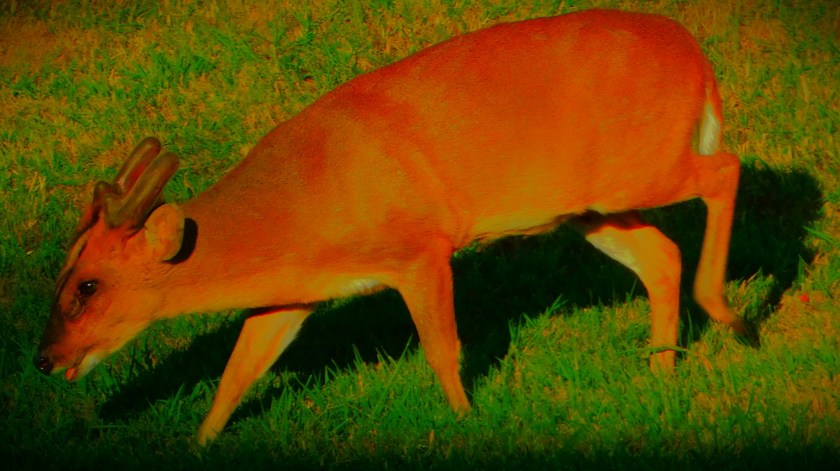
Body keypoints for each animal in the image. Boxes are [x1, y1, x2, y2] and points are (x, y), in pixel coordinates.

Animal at [34, 9, 752, 445]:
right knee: (662, 254)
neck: (304, 202)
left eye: (87, 286)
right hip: (592, 205)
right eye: (62, 277)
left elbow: (442, 348)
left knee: (726, 169)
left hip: (643, 166)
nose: (46, 359)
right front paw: (199, 443)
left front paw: (464, 423)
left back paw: (728, 314)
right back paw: (661, 372)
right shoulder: (295, 293)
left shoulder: (419, 248)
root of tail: (697, 58)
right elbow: (240, 369)